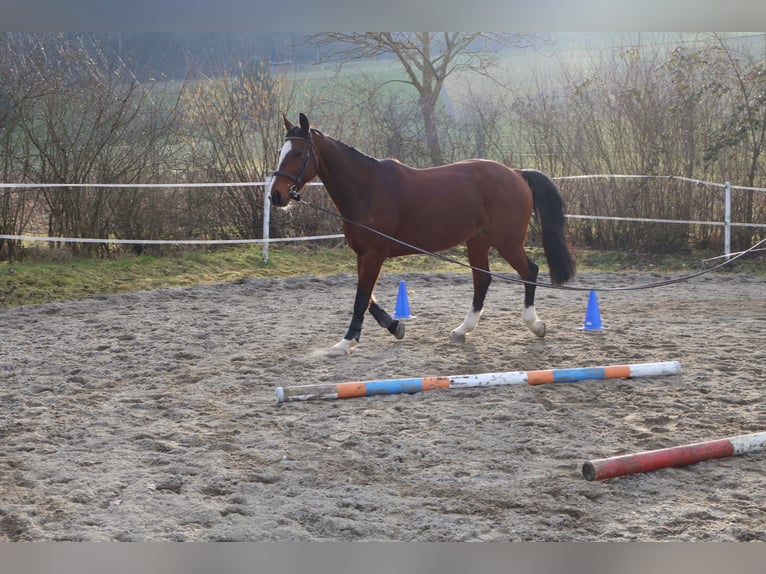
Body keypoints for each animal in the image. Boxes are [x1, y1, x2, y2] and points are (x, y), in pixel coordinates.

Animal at [270, 113, 576, 356]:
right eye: (282, 151)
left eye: (298, 153)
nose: (276, 195)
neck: (367, 189)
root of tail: (516, 172)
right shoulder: (363, 254)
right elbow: (368, 299)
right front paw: (395, 326)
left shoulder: (373, 254)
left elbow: (361, 299)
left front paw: (346, 342)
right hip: (477, 241)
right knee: (483, 280)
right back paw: (463, 329)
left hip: (507, 242)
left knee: (529, 272)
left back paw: (535, 325)